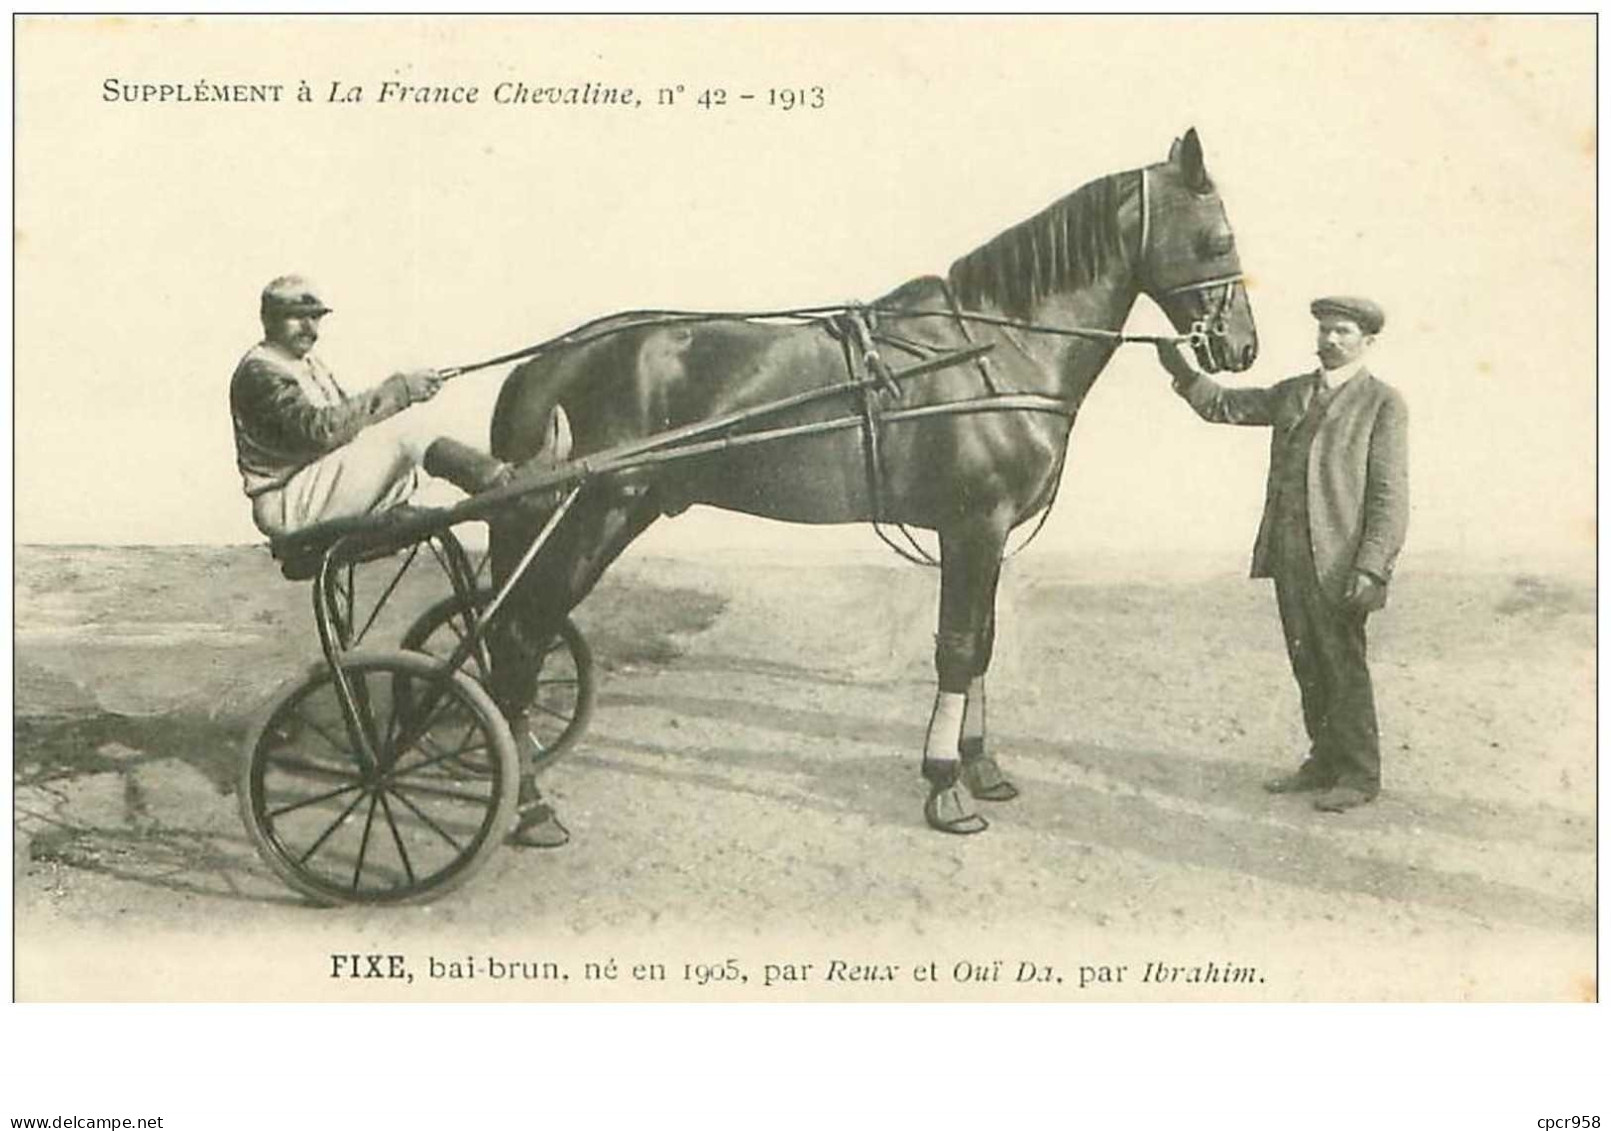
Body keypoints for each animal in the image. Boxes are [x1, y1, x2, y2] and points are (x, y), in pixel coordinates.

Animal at [476, 130, 1256, 844]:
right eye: (1217, 238)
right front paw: (945, 787)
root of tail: (542, 364)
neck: (998, 348)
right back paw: (530, 806)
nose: (1242, 347)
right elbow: (957, 647)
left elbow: (985, 642)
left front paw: (982, 766)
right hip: (591, 520)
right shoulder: (972, 526)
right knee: (517, 638)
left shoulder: (989, 536)